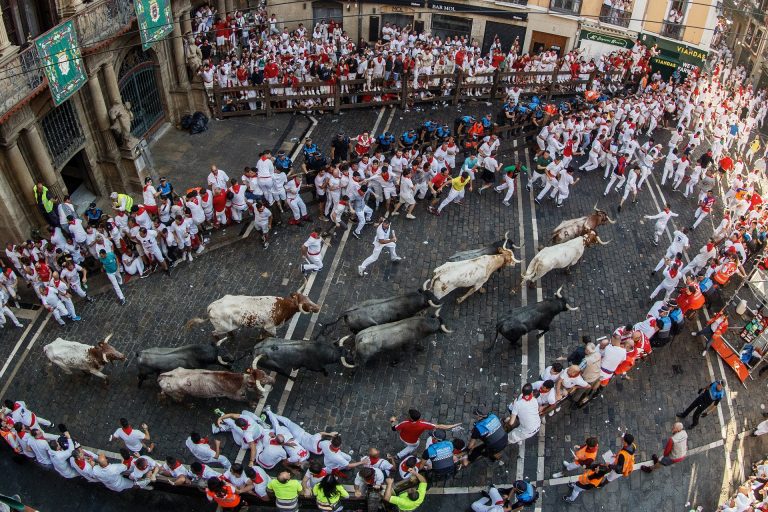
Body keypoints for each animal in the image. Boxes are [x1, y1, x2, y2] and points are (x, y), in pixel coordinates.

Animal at [184, 290, 320, 338]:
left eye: (309, 298)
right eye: (306, 304)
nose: (318, 307)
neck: (283, 307)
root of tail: (211, 307)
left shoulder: (265, 326)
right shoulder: (271, 327)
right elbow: (272, 336)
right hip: (221, 327)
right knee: (214, 333)